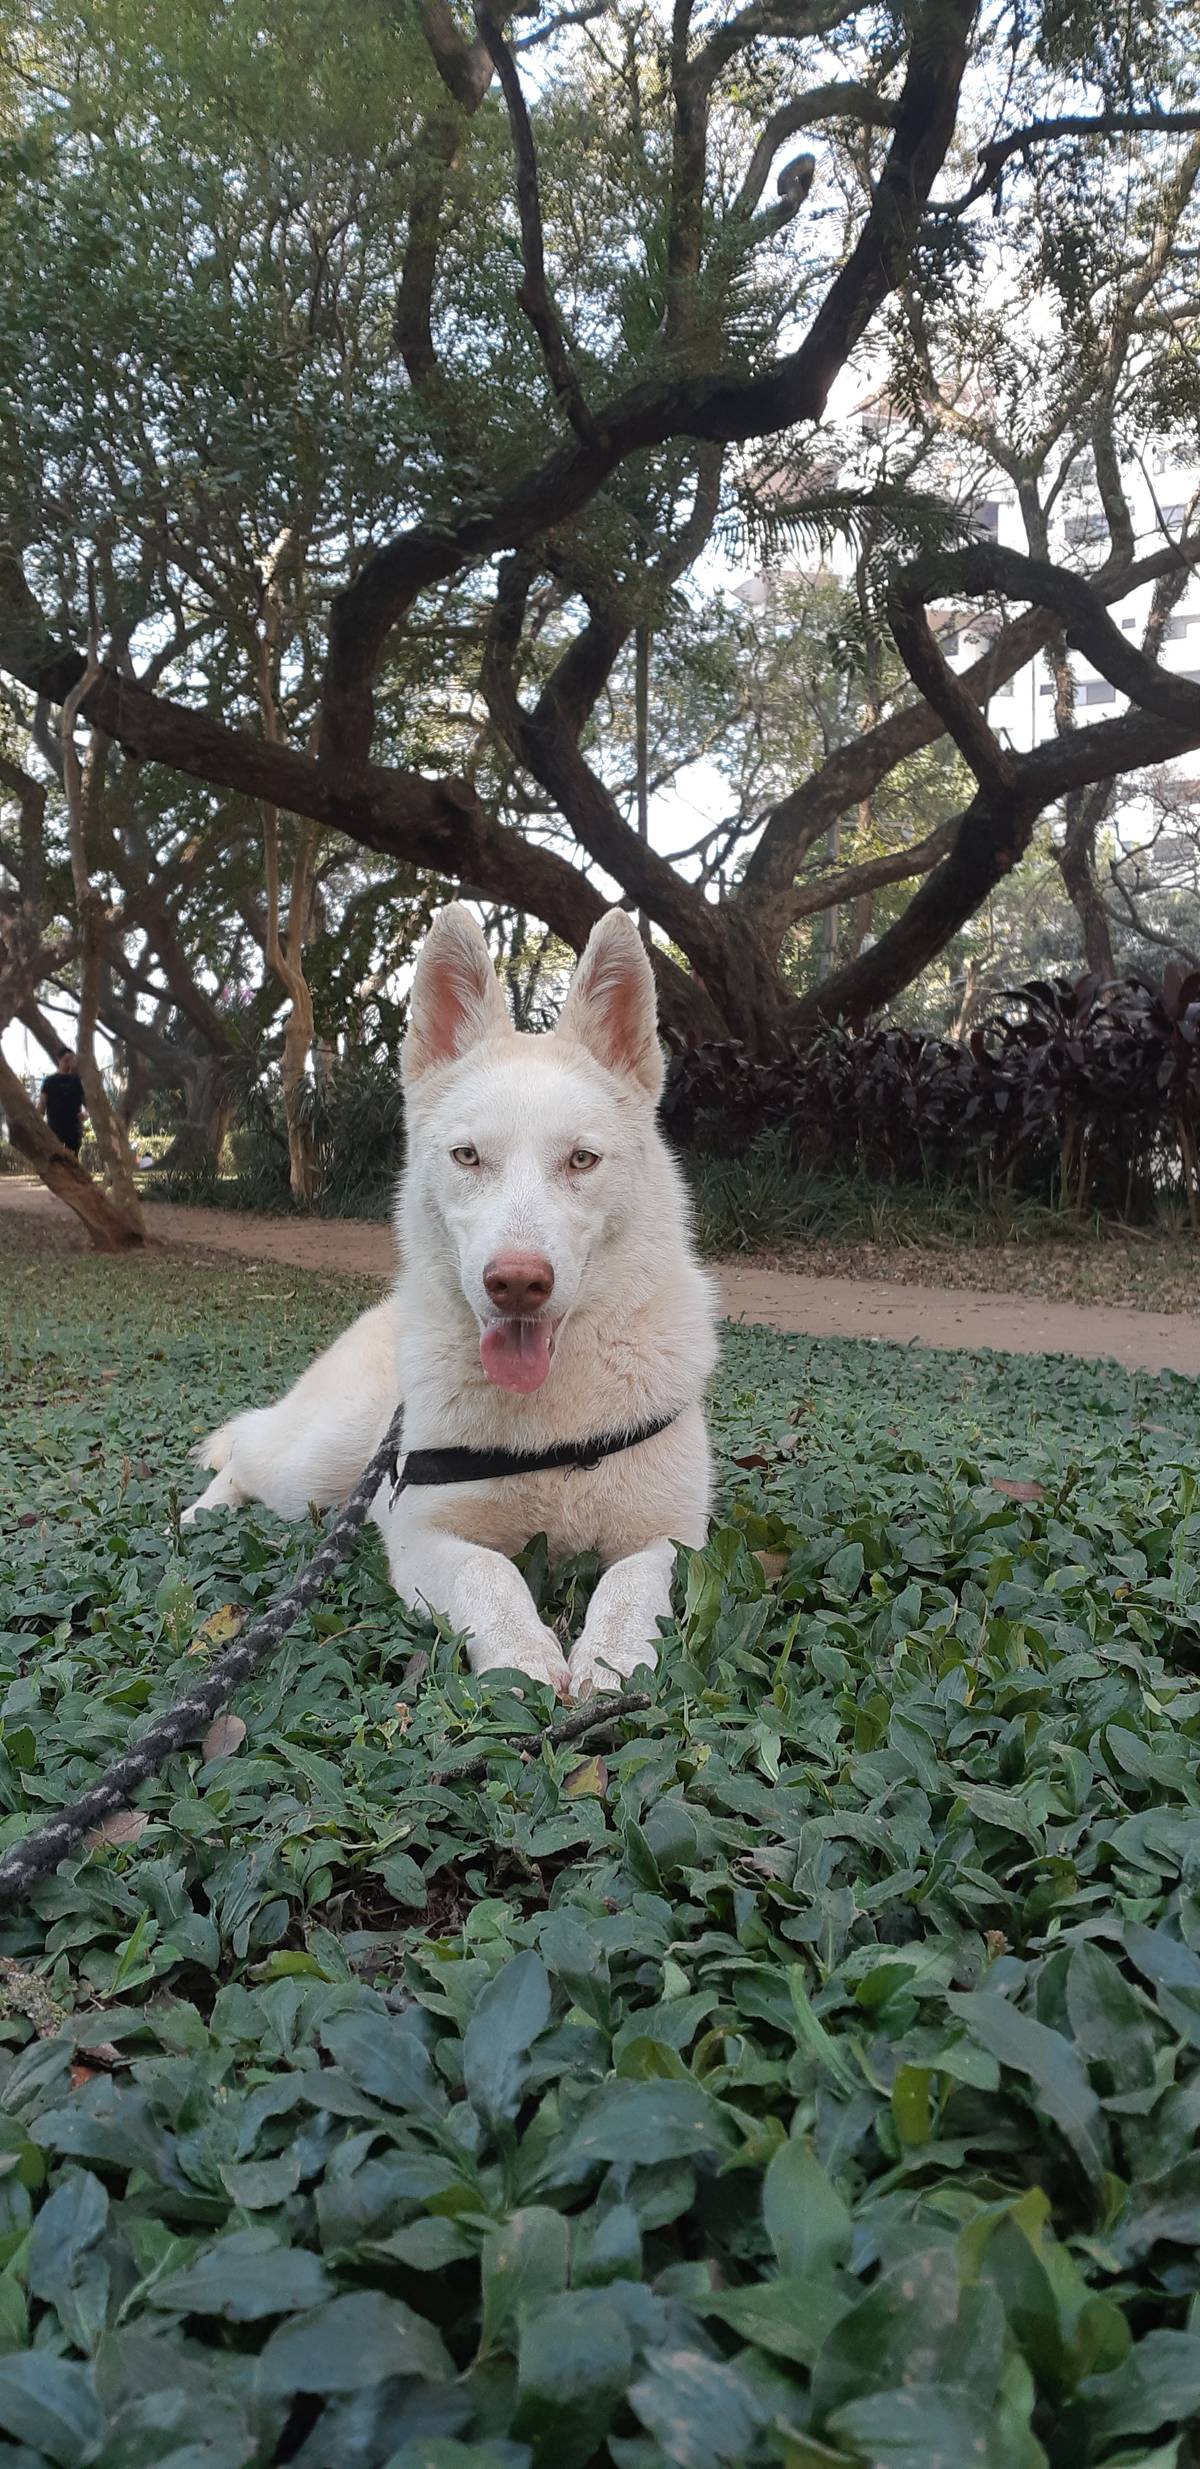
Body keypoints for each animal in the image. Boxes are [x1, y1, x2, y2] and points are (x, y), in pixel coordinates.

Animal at [183, 905, 718, 1697]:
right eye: (468, 1156)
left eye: (581, 1159)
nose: (517, 1282)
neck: (552, 1424)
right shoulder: (420, 1531)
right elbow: (487, 1572)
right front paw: (522, 1656)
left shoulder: (670, 1536)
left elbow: (630, 1584)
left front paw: (613, 1656)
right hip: (320, 1464)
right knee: (246, 1450)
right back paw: (198, 1513)